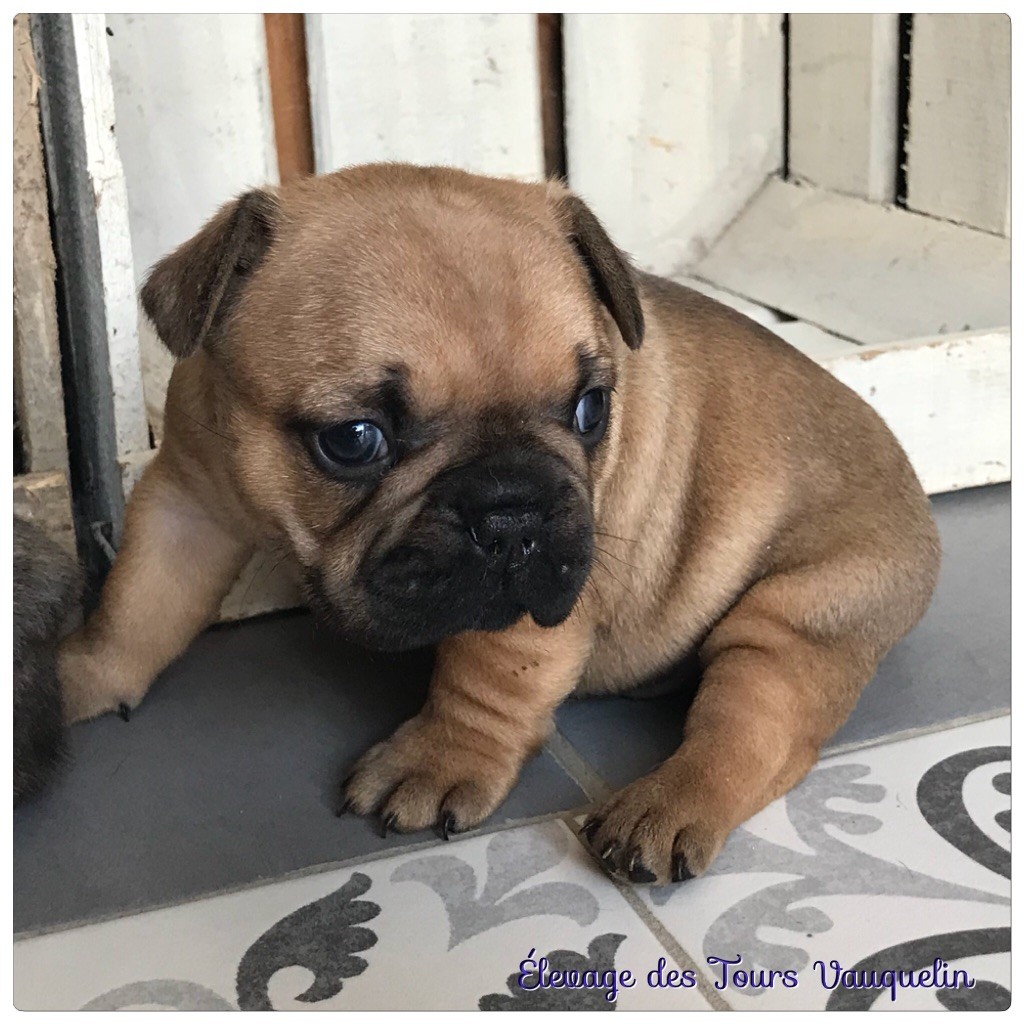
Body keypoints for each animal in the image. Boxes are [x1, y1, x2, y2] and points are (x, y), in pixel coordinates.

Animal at [59, 163, 937, 884]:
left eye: (591, 409)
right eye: (353, 440)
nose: (513, 512)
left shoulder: (531, 592)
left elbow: (487, 674)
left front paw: (442, 756)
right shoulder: (183, 499)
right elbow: (138, 604)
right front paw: (80, 676)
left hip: (798, 616)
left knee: (759, 734)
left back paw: (664, 808)